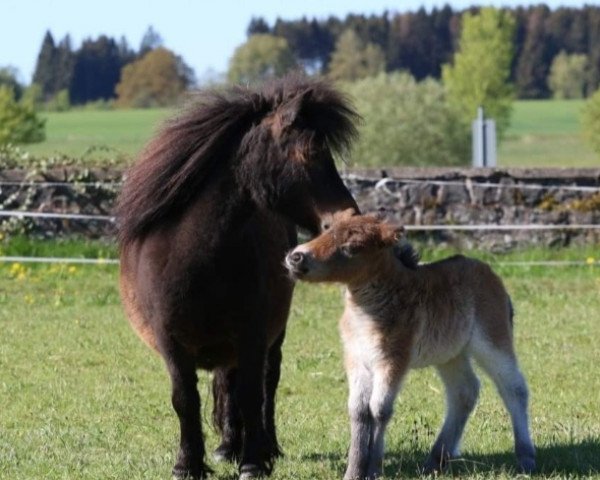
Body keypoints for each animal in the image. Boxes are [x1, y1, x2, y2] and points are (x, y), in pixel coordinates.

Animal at [118, 77, 360, 478]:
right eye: (310, 152)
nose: (345, 219)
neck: (194, 258)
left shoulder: (253, 334)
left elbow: (252, 393)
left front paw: (254, 462)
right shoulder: (171, 342)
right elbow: (185, 398)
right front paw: (188, 464)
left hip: (270, 337)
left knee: (266, 383)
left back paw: (264, 446)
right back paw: (228, 446)